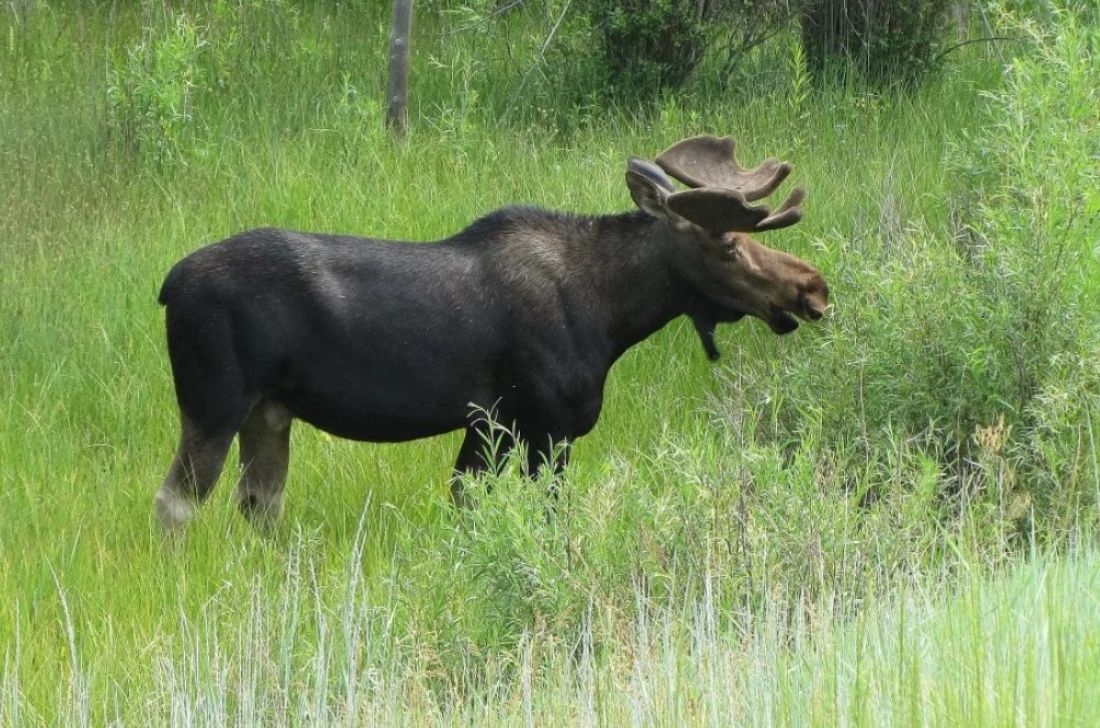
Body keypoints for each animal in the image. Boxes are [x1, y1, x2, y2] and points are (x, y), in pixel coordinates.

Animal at [152, 135, 827, 530]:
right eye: (729, 245)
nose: (813, 288)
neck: (612, 318)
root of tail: (167, 285)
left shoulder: (487, 426)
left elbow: (466, 503)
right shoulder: (546, 426)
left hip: (269, 412)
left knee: (258, 504)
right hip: (213, 403)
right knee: (176, 502)